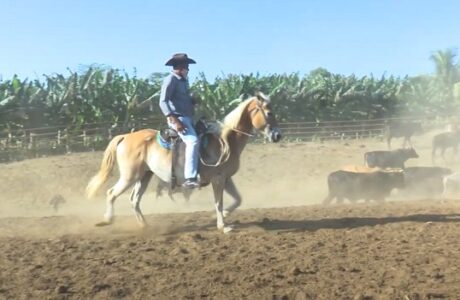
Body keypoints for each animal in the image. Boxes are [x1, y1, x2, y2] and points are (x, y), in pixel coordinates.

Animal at [84, 91, 282, 232]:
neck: (225, 141)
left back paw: (144, 225)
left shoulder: (226, 178)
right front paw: (223, 226)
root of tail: (125, 136)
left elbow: (238, 199)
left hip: (144, 176)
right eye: (269, 113)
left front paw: (222, 216)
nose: (278, 135)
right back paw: (108, 219)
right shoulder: (218, 179)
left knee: (134, 200)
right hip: (129, 176)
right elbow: (218, 202)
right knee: (111, 193)